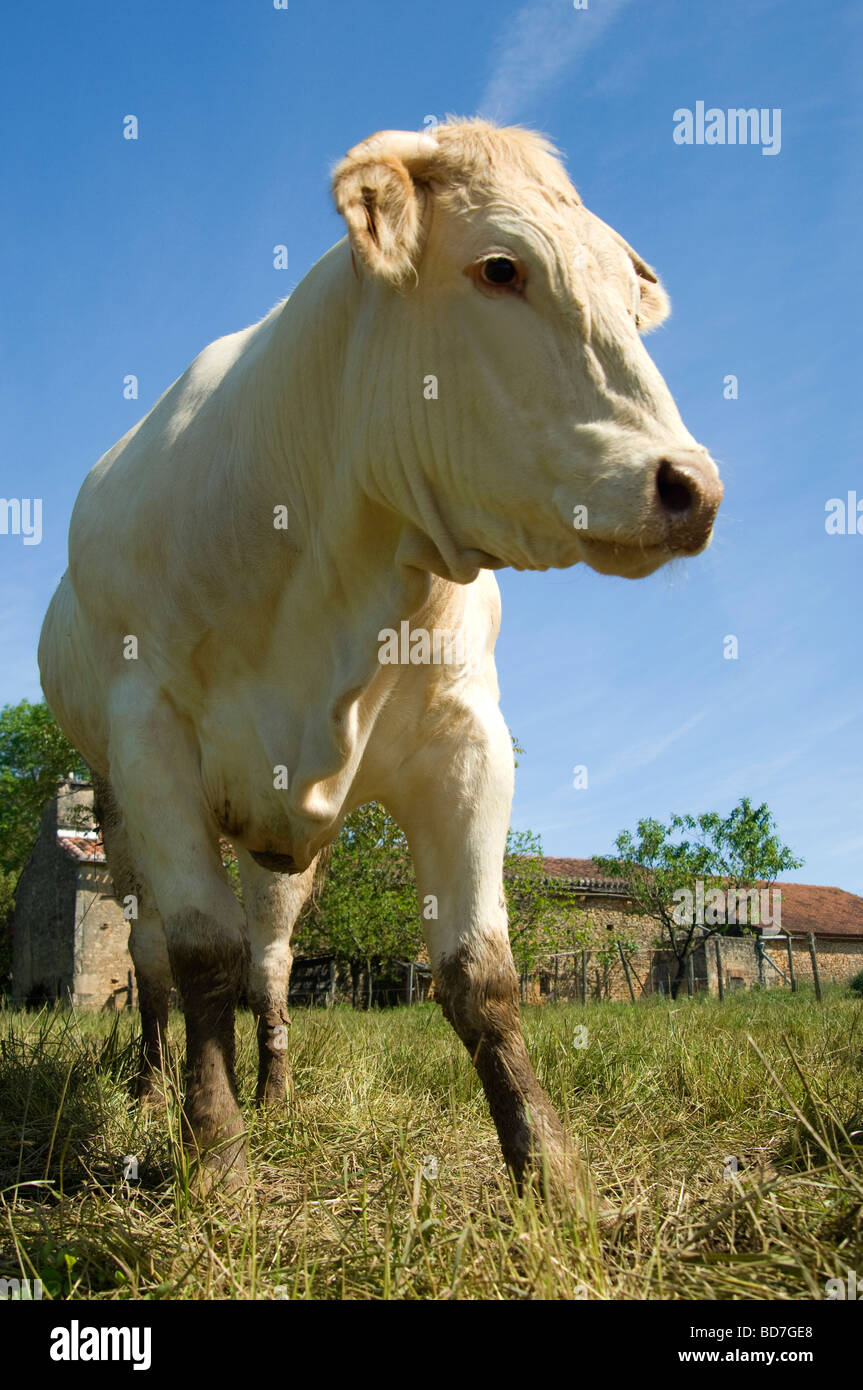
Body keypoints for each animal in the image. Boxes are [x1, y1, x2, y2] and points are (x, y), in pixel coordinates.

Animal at [42, 122, 722, 1206]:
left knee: (273, 960)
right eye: (499, 267)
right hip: (115, 806)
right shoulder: (149, 735)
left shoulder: (464, 740)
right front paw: (217, 1157)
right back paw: (152, 1091)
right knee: (153, 960)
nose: (690, 486)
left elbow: (480, 971)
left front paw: (550, 1173)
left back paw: (276, 1090)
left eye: (627, 292)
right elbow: (197, 955)